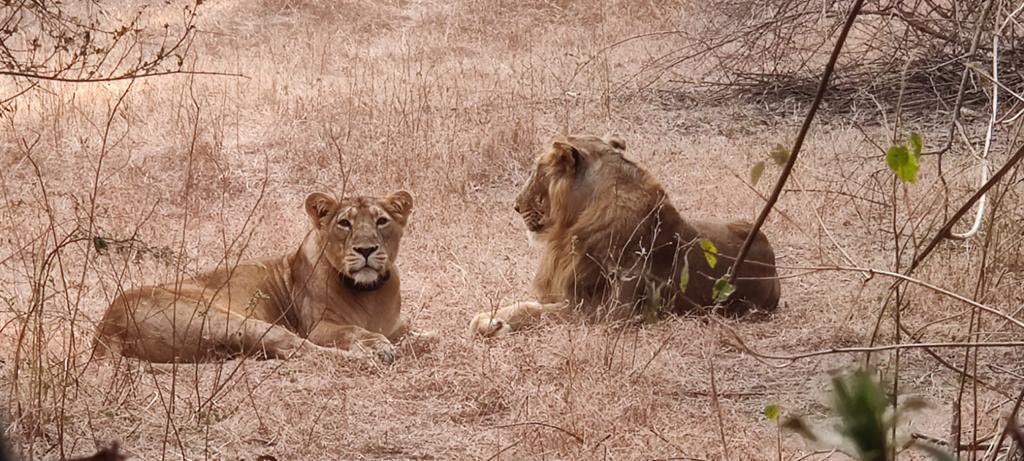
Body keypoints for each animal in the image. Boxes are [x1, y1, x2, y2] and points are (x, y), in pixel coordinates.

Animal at [92, 190, 419, 364]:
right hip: (231, 320)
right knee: (299, 349)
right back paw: (367, 357)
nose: (366, 249)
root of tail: (106, 327)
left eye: (381, 221)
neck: (372, 294)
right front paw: (377, 345)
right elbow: (352, 331)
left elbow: (417, 332)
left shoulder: (398, 324)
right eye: (344, 223)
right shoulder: (317, 327)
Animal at [473, 135, 782, 336]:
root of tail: (773, 269)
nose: (515, 206)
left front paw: (489, 323)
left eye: (535, 172)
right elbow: (527, 304)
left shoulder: (606, 312)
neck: (570, 225)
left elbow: (534, 311)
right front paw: (490, 320)